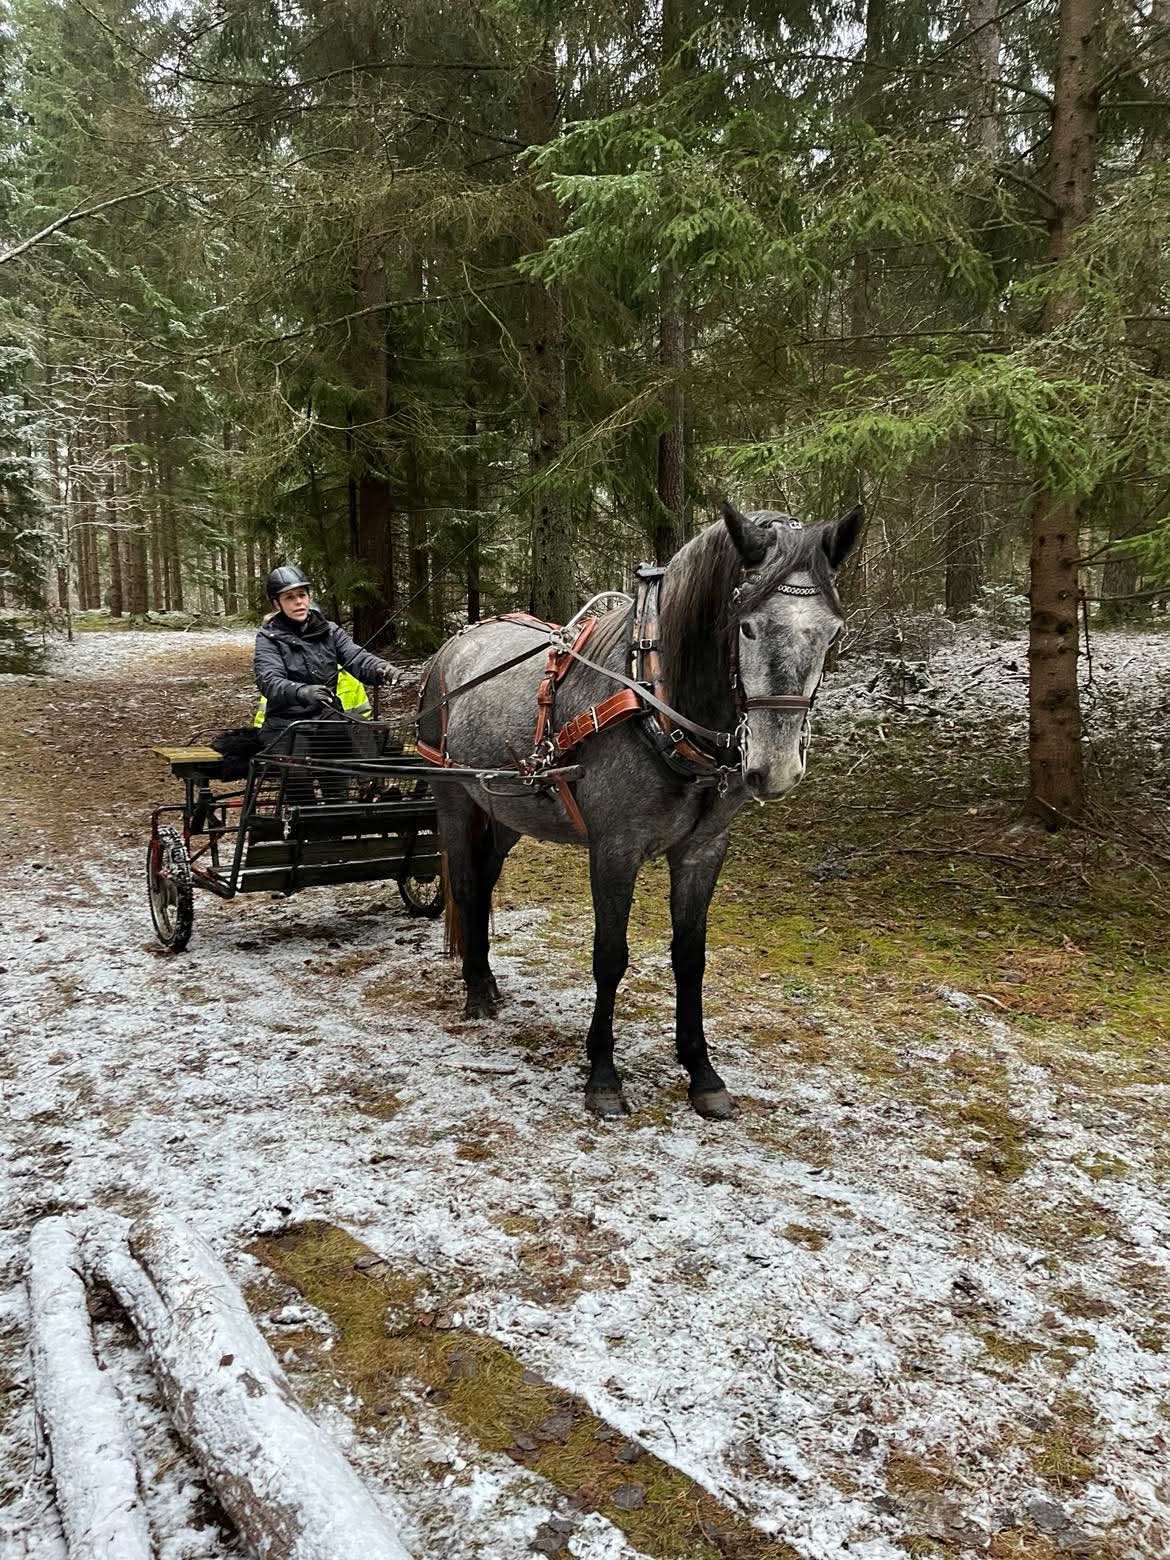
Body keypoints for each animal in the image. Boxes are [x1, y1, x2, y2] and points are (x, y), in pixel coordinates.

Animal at [418, 499, 867, 1123]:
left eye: (832, 632)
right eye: (746, 625)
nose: (774, 768)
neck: (658, 703)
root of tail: (454, 644)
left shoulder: (703, 851)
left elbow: (691, 958)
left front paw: (702, 1072)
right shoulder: (615, 849)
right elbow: (610, 955)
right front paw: (603, 1075)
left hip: (507, 809)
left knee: (483, 885)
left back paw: (485, 978)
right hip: (455, 797)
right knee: (463, 884)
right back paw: (475, 992)